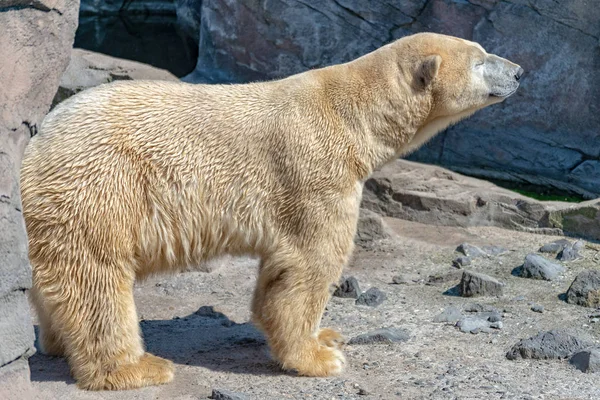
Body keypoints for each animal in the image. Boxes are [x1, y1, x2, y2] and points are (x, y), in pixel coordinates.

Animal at [21, 32, 524, 390]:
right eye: (481, 60)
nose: (520, 71)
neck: (353, 115)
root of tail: (41, 137)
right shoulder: (316, 170)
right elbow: (309, 262)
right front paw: (319, 358)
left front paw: (327, 336)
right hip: (103, 183)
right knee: (97, 276)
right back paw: (137, 368)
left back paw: (54, 341)